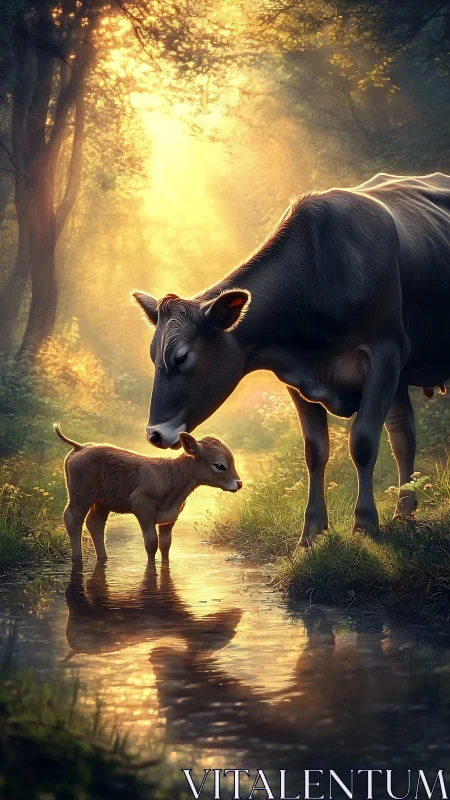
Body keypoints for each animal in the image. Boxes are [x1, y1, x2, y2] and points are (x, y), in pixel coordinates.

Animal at [133, 173, 450, 546]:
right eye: (152, 354)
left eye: (182, 357)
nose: (154, 434)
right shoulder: (298, 376)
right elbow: (315, 451)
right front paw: (311, 532)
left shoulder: (385, 352)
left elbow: (363, 441)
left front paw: (365, 526)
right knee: (403, 434)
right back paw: (405, 514)